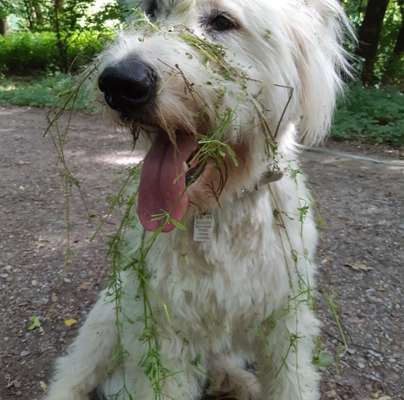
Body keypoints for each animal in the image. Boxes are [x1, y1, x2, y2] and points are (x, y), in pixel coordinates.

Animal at [45, 0, 350, 400]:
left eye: (222, 21)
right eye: (151, 11)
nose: (119, 82)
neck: (219, 209)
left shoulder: (286, 320)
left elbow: (292, 381)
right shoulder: (165, 329)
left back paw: (239, 382)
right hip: (109, 318)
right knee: (73, 371)